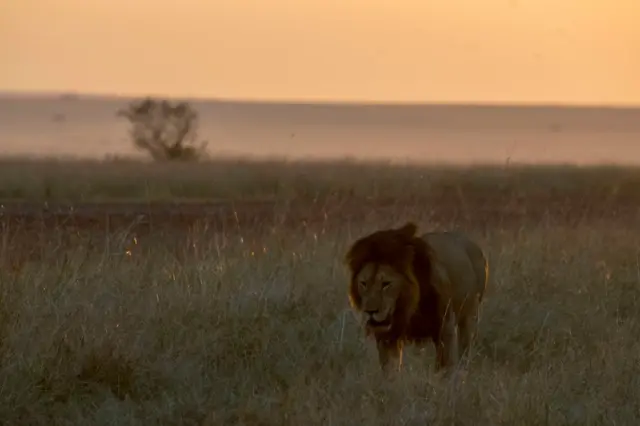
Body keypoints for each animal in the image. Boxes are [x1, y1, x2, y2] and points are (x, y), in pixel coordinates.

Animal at [348, 223, 488, 372]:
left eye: (386, 284)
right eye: (363, 283)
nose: (370, 311)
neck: (407, 308)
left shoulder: (445, 328)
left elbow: (445, 366)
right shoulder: (387, 338)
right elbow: (390, 369)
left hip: (469, 317)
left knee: (465, 349)